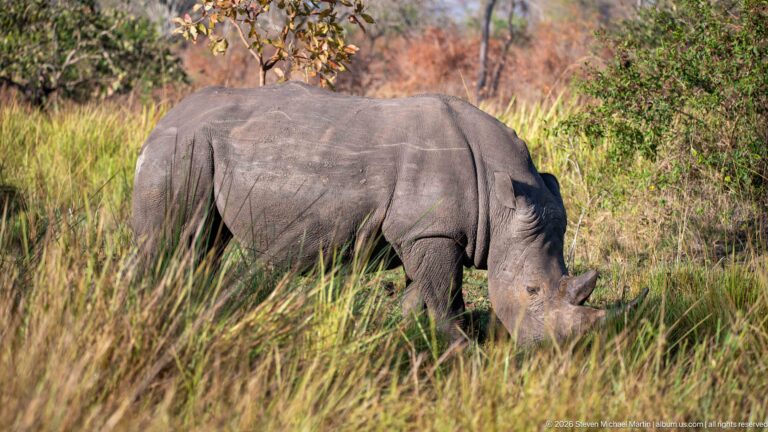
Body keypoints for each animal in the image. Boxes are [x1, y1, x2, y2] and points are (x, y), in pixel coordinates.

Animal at [132, 82, 645, 344]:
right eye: (532, 290)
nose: (559, 352)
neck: (502, 197)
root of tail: (161, 119)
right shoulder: (432, 233)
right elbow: (445, 297)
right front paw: (461, 350)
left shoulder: (425, 234)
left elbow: (423, 293)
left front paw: (408, 336)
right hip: (181, 148)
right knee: (174, 239)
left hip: (198, 146)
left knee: (205, 242)